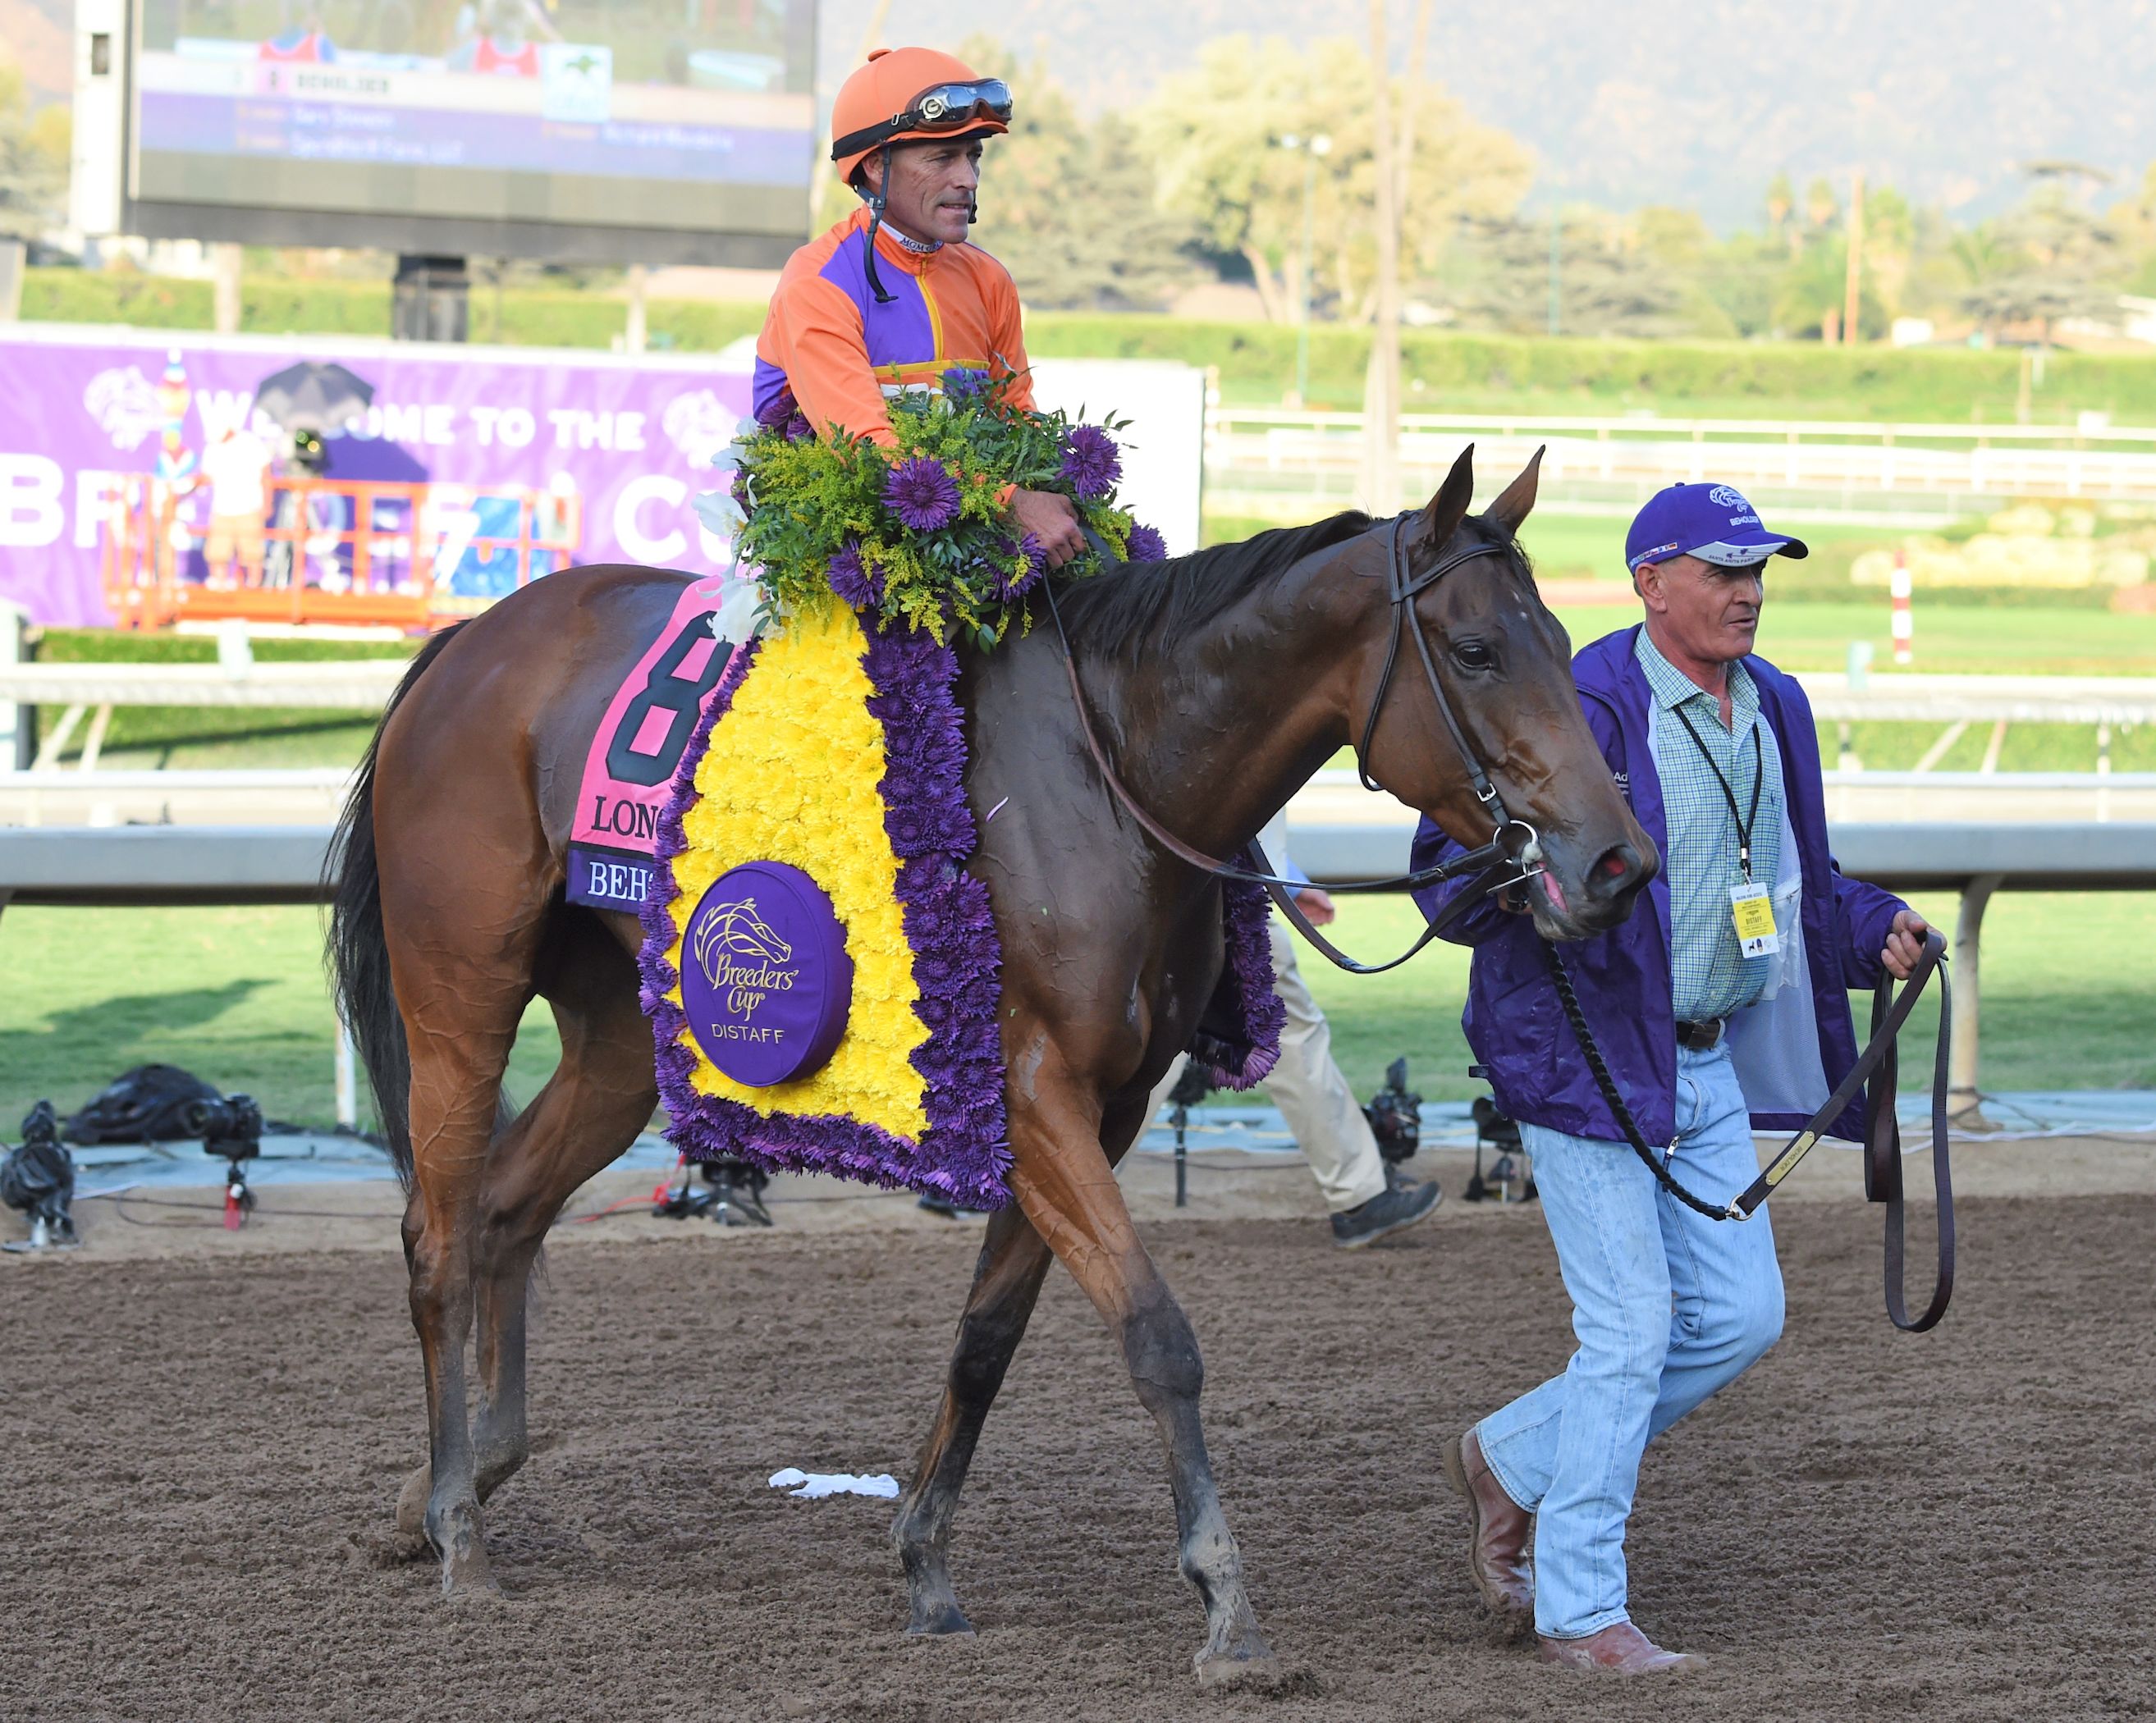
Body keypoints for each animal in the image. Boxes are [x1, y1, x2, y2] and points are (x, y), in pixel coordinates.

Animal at [332, 441, 1647, 1682]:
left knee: (508, 1208)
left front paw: (924, 1564)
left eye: (1560, 638)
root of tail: (468, 641)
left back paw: (448, 1487)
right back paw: (458, 1533)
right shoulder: (1034, 1096)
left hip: (622, 1031)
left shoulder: (1102, 1108)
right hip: (459, 990)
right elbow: (1157, 1337)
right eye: (1474, 651)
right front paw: (1225, 1607)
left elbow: (987, 1337)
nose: (1616, 861)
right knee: (439, 1237)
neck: (1108, 772)